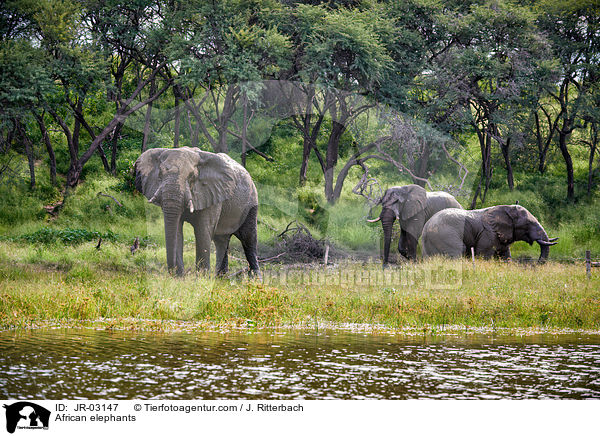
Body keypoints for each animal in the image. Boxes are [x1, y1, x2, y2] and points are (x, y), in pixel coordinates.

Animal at [135, 146, 258, 276]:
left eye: (191, 177)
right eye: (160, 174)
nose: (171, 272)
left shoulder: (212, 193)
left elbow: (203, 231)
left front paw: (201, 278)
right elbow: (177, 230)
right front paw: (179, 277)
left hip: (251, 202)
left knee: (249, 239)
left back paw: (255, 279)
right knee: (221, 240)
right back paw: (221, 278)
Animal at [422, 205, 556, 262]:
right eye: (528, 224)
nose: (536, 264)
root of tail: (426, 228)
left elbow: (505, 256)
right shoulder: (488, 235)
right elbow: (484, 255)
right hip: (445, 235)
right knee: (458, 251)